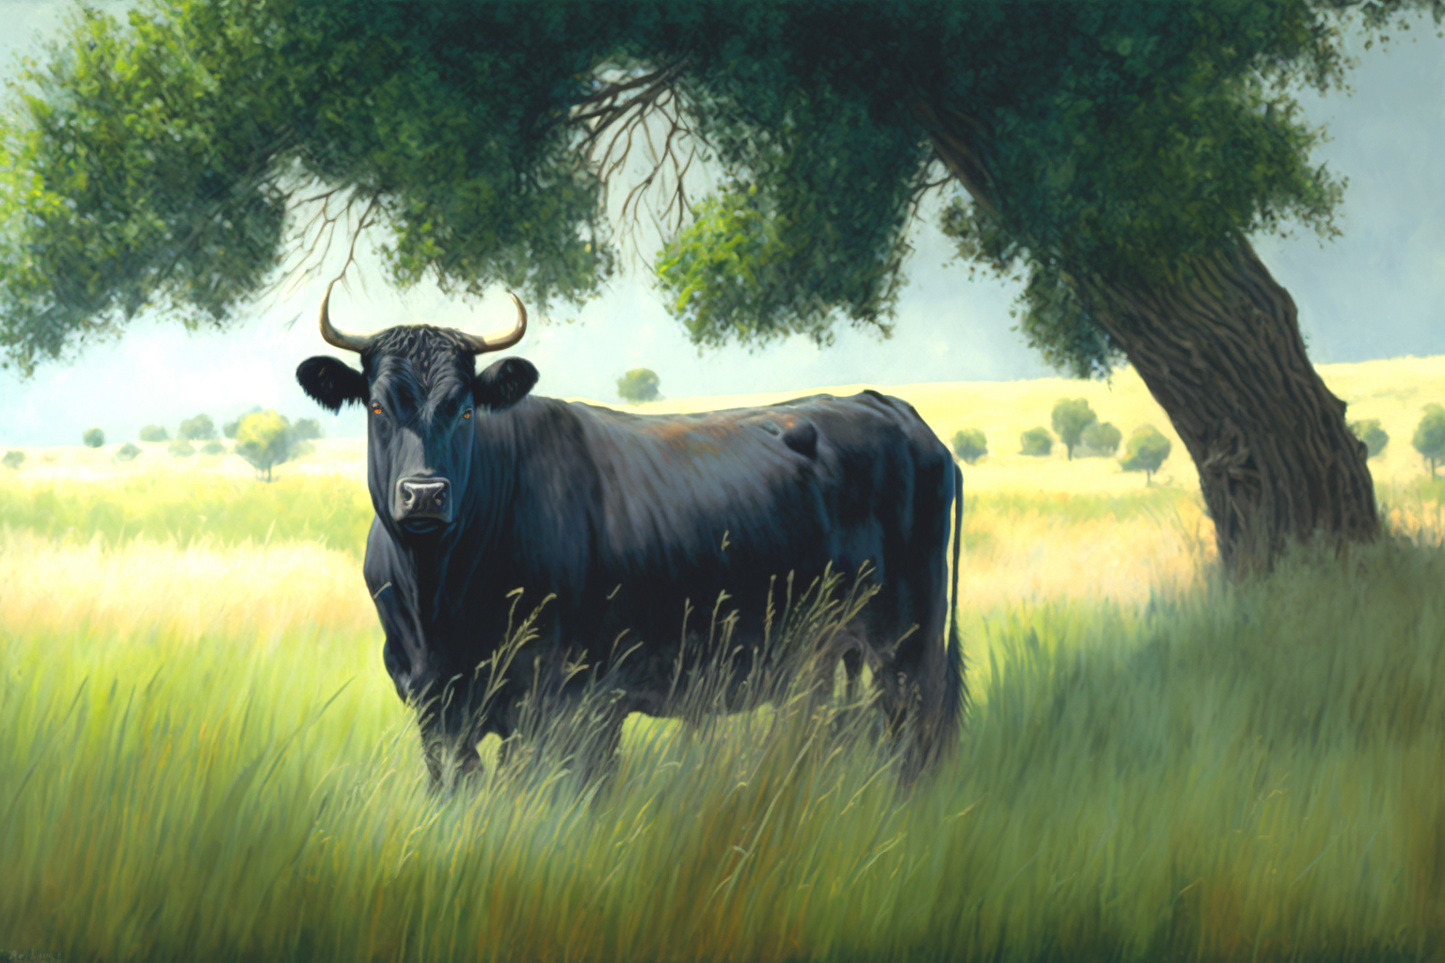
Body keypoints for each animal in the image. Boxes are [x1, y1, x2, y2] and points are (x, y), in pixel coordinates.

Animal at [296, 283, 966, 787]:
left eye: (463, 409)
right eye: (377, 407)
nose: (425, 494)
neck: (437, 598)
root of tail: (885, 404)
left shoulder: (563, 699)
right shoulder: (434, 706)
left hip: (908, 644)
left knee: (917, 740)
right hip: (832, 656)